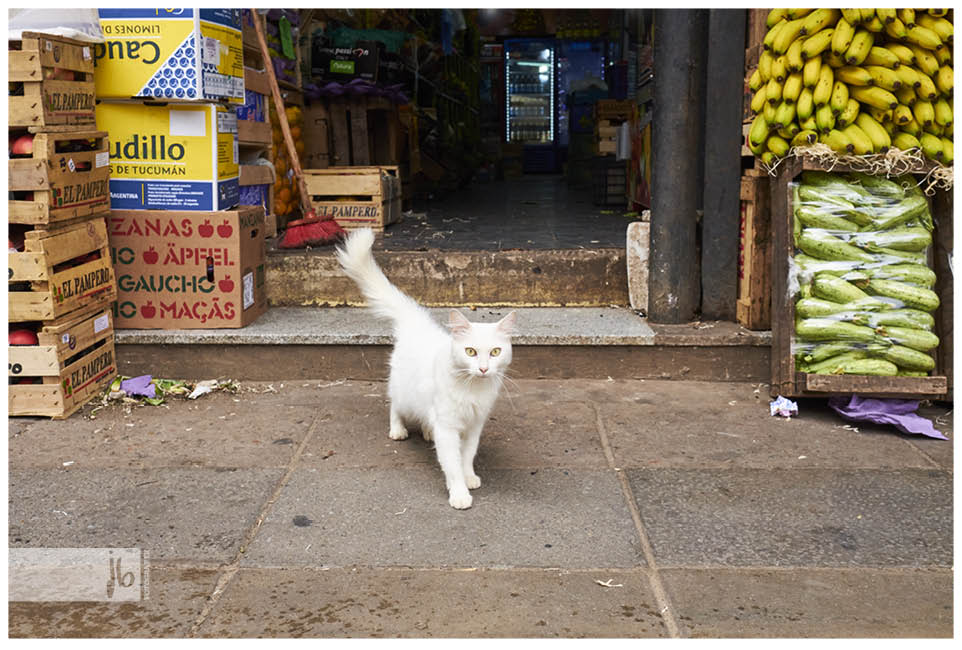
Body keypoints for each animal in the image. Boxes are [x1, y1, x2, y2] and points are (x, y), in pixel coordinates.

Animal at [340, 227, 516, 506]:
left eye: (495, 352)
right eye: (470, 351)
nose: (483, 369)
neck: (472, 388)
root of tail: (416, 322)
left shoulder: (474, 426)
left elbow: (467, 457)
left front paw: (469, 478)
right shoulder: (448, 427)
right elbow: (452, 464)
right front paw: (459, 494)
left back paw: (426, 431)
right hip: (404, 393)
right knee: (394, 406)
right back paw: (398, 430)